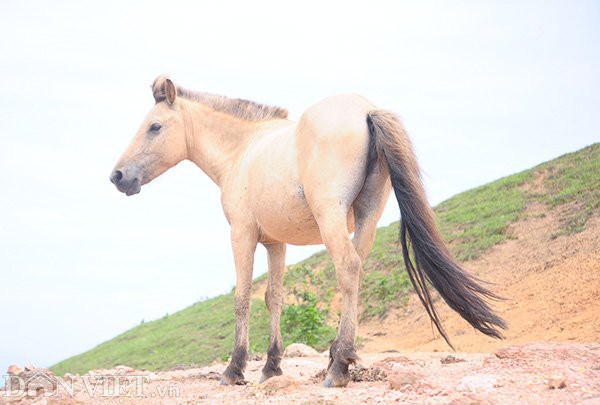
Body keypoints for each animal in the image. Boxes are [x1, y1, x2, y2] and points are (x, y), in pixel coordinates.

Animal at [109, 74, 506, 386]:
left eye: (155, 127)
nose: (118, 176)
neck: (243, 150)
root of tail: (366, 111)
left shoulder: (242, 235)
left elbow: (242, 298)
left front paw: (234, 369)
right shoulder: (275, 243)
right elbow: (274, 298)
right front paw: (271, 367)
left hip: (332, 220)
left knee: (347, 268)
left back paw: (340, 366)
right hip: (366, 220)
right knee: (355, 271)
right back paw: (335, 358)